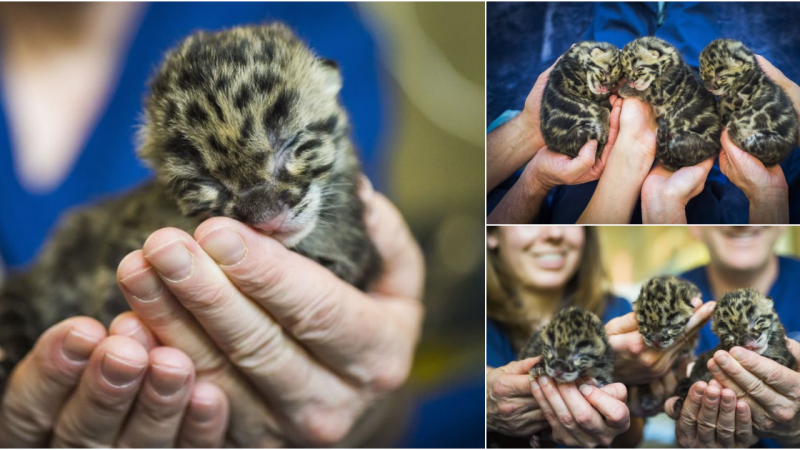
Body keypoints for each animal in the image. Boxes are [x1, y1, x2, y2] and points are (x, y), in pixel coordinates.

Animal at [616, 36, 720, 171]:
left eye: (638, 69)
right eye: (626, 73)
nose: (631, 83)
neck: (670, 62)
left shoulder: (662, 92)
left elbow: (645, 91)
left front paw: (624, 90)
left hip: (689, 141)